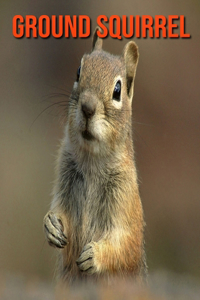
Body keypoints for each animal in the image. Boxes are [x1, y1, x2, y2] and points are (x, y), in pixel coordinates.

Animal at [43, 27, 147, 282]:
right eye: (78, 71)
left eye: (118, 90)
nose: (88, 107)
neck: (91, 160)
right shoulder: (64, 183)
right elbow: (59, 213)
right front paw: (51, 224)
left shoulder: (125, 202)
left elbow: (125, 246)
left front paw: (95, 256)